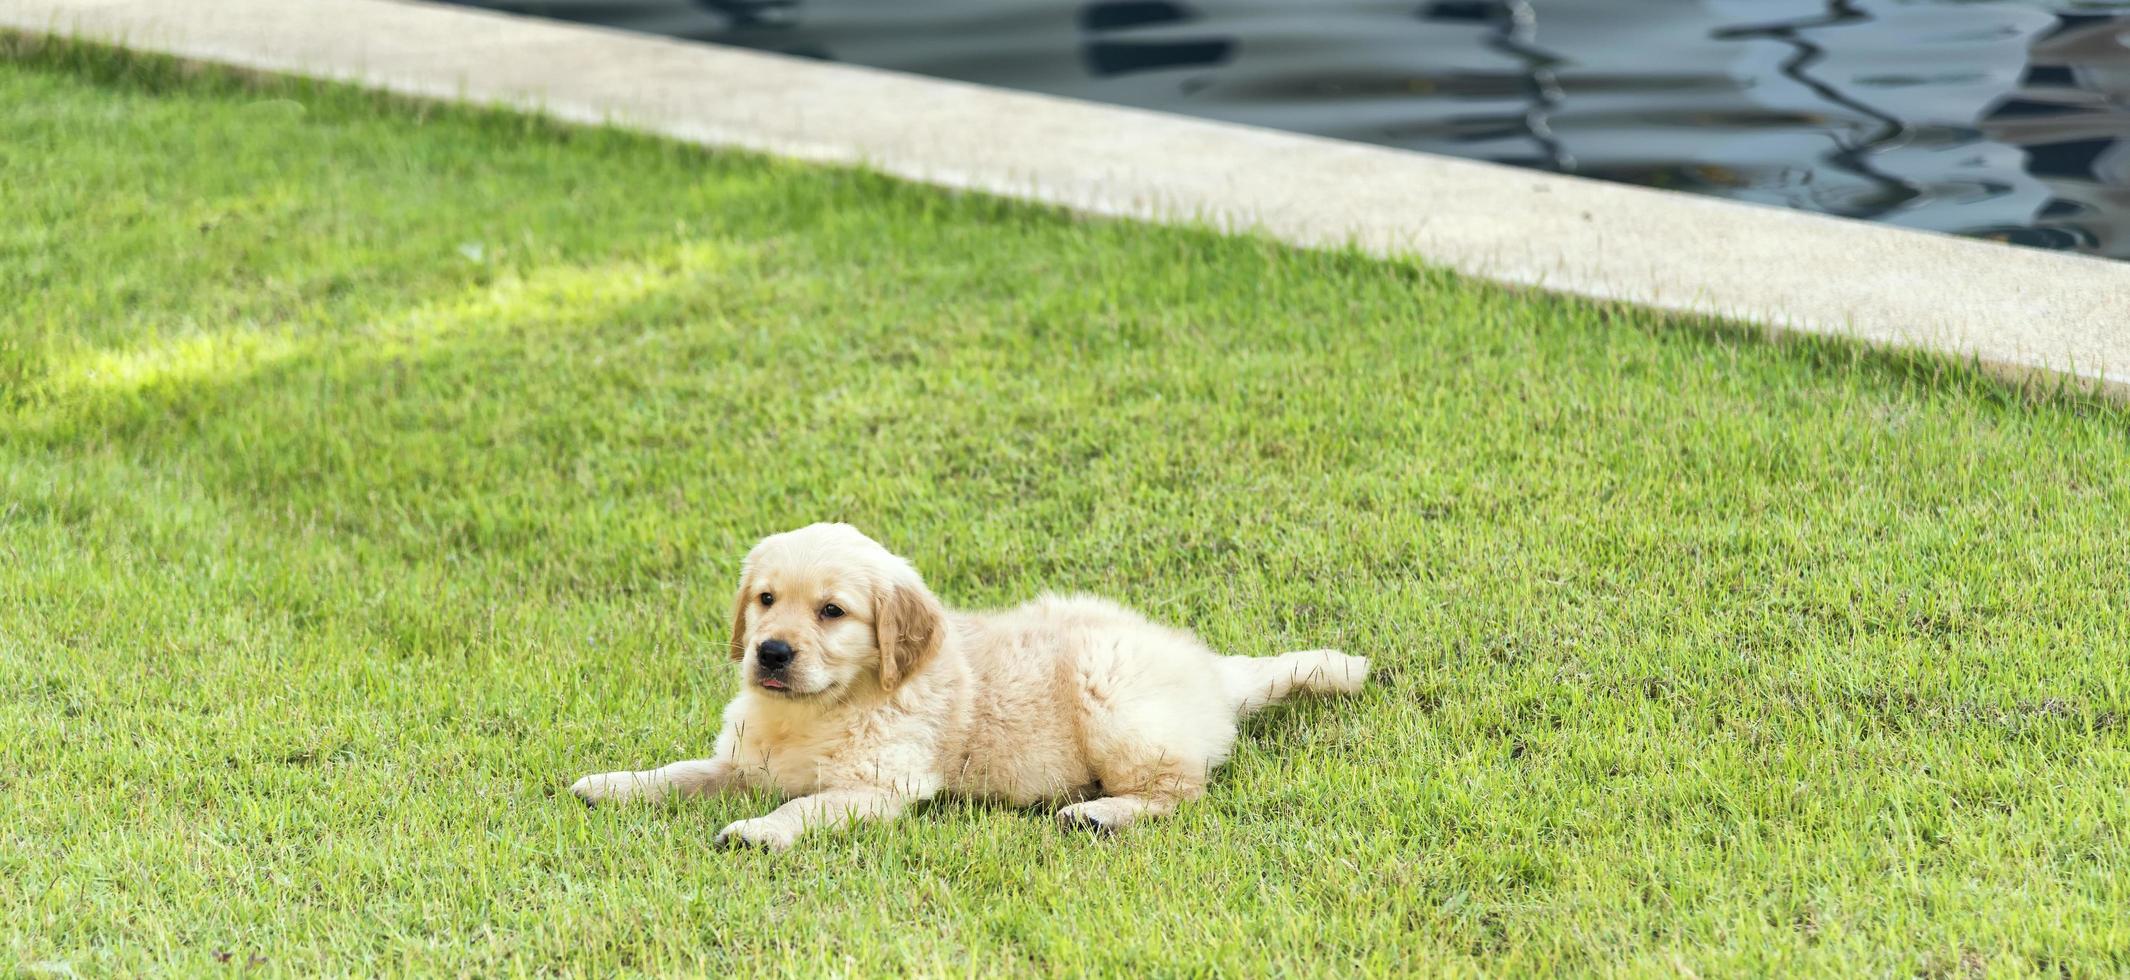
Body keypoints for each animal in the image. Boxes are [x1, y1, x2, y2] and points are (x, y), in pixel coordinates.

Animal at [570, 519, 1363, 847]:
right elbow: (682, 772)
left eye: (831, 612)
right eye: (765, 600)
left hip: (1112, 698)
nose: (769, 653)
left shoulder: (883, 785)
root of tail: (1213, 668)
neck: (825, 708)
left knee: (1181, 790)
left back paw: (1100, 814)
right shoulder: (744, 763)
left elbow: (807, 806)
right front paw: (614, 783)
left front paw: (759, 832)